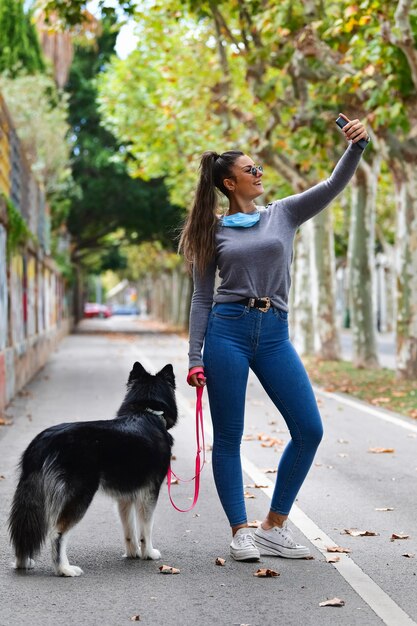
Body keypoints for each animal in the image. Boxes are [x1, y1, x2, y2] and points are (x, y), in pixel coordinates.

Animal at [8, 360, 177, 576]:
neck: (147, 413)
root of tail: (44, 439)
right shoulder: (150, 492)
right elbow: (146, 528)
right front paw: (148, 553)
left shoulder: (125, 497)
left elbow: (129, 529)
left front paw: (133, 553)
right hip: (80, 494)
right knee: (57, 533)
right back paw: (64, 569)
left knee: (25, 531)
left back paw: (23, 562)